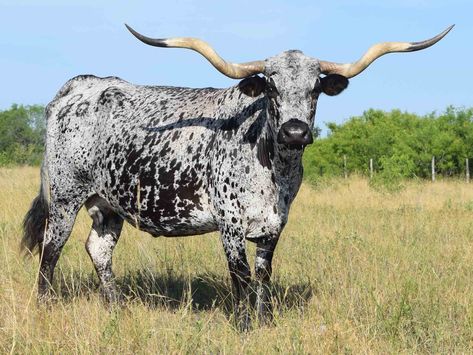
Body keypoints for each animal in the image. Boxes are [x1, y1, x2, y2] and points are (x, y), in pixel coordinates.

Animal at [23, 25, 454, 330]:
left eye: (315, 88)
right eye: (271, 86)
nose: (295, 131)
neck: (275, 170)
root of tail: (83, 84)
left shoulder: (274, 225)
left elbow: (263, 275)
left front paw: (266, 322)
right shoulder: (230, 224)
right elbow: (241, 277)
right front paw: (245, 326)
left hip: (109, 204)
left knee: (98, 249)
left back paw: (116, 308)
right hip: (65, 198)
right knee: (50, 251)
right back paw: (44, 306)